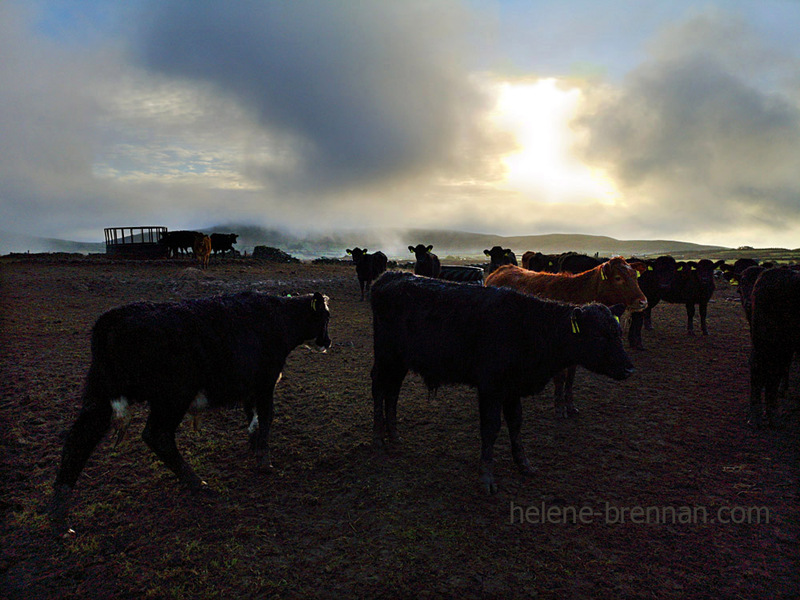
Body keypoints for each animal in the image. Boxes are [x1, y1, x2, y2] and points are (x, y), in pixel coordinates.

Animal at [47, 290, 332, 528]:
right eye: (325, 318)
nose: (328, 342)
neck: (279, 318)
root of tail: (111, 320)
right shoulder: (265, 383)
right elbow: (267, 417)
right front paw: (265, 461)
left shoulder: (250, 387)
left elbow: (253, 418)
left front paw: (254, 446)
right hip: (172, 397)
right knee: (157, 435)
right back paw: (197, 482)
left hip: (100, 397)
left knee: (79, 440)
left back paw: (59, 516)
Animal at [372, 272, 636, 492]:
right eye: (599, 335)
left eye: (618, 332)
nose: (629, 368)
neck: (527, 326)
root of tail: (391, 275)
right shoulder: (491, 387)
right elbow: (491, 428)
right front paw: (487, 477)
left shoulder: (512, 389)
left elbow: (516, 424)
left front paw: (524, 464)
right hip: (385, 356)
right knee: (378, 389)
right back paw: (379, 439)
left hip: (399, 361)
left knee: (393, 392)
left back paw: (394, 434)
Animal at [484, 256, 648, 418]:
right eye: (618, 278)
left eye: (635, 276)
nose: (643, 301)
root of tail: (501, 269)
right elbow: (561, 378)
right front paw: (559, 408)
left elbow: (570, 378)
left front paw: (570, 406)